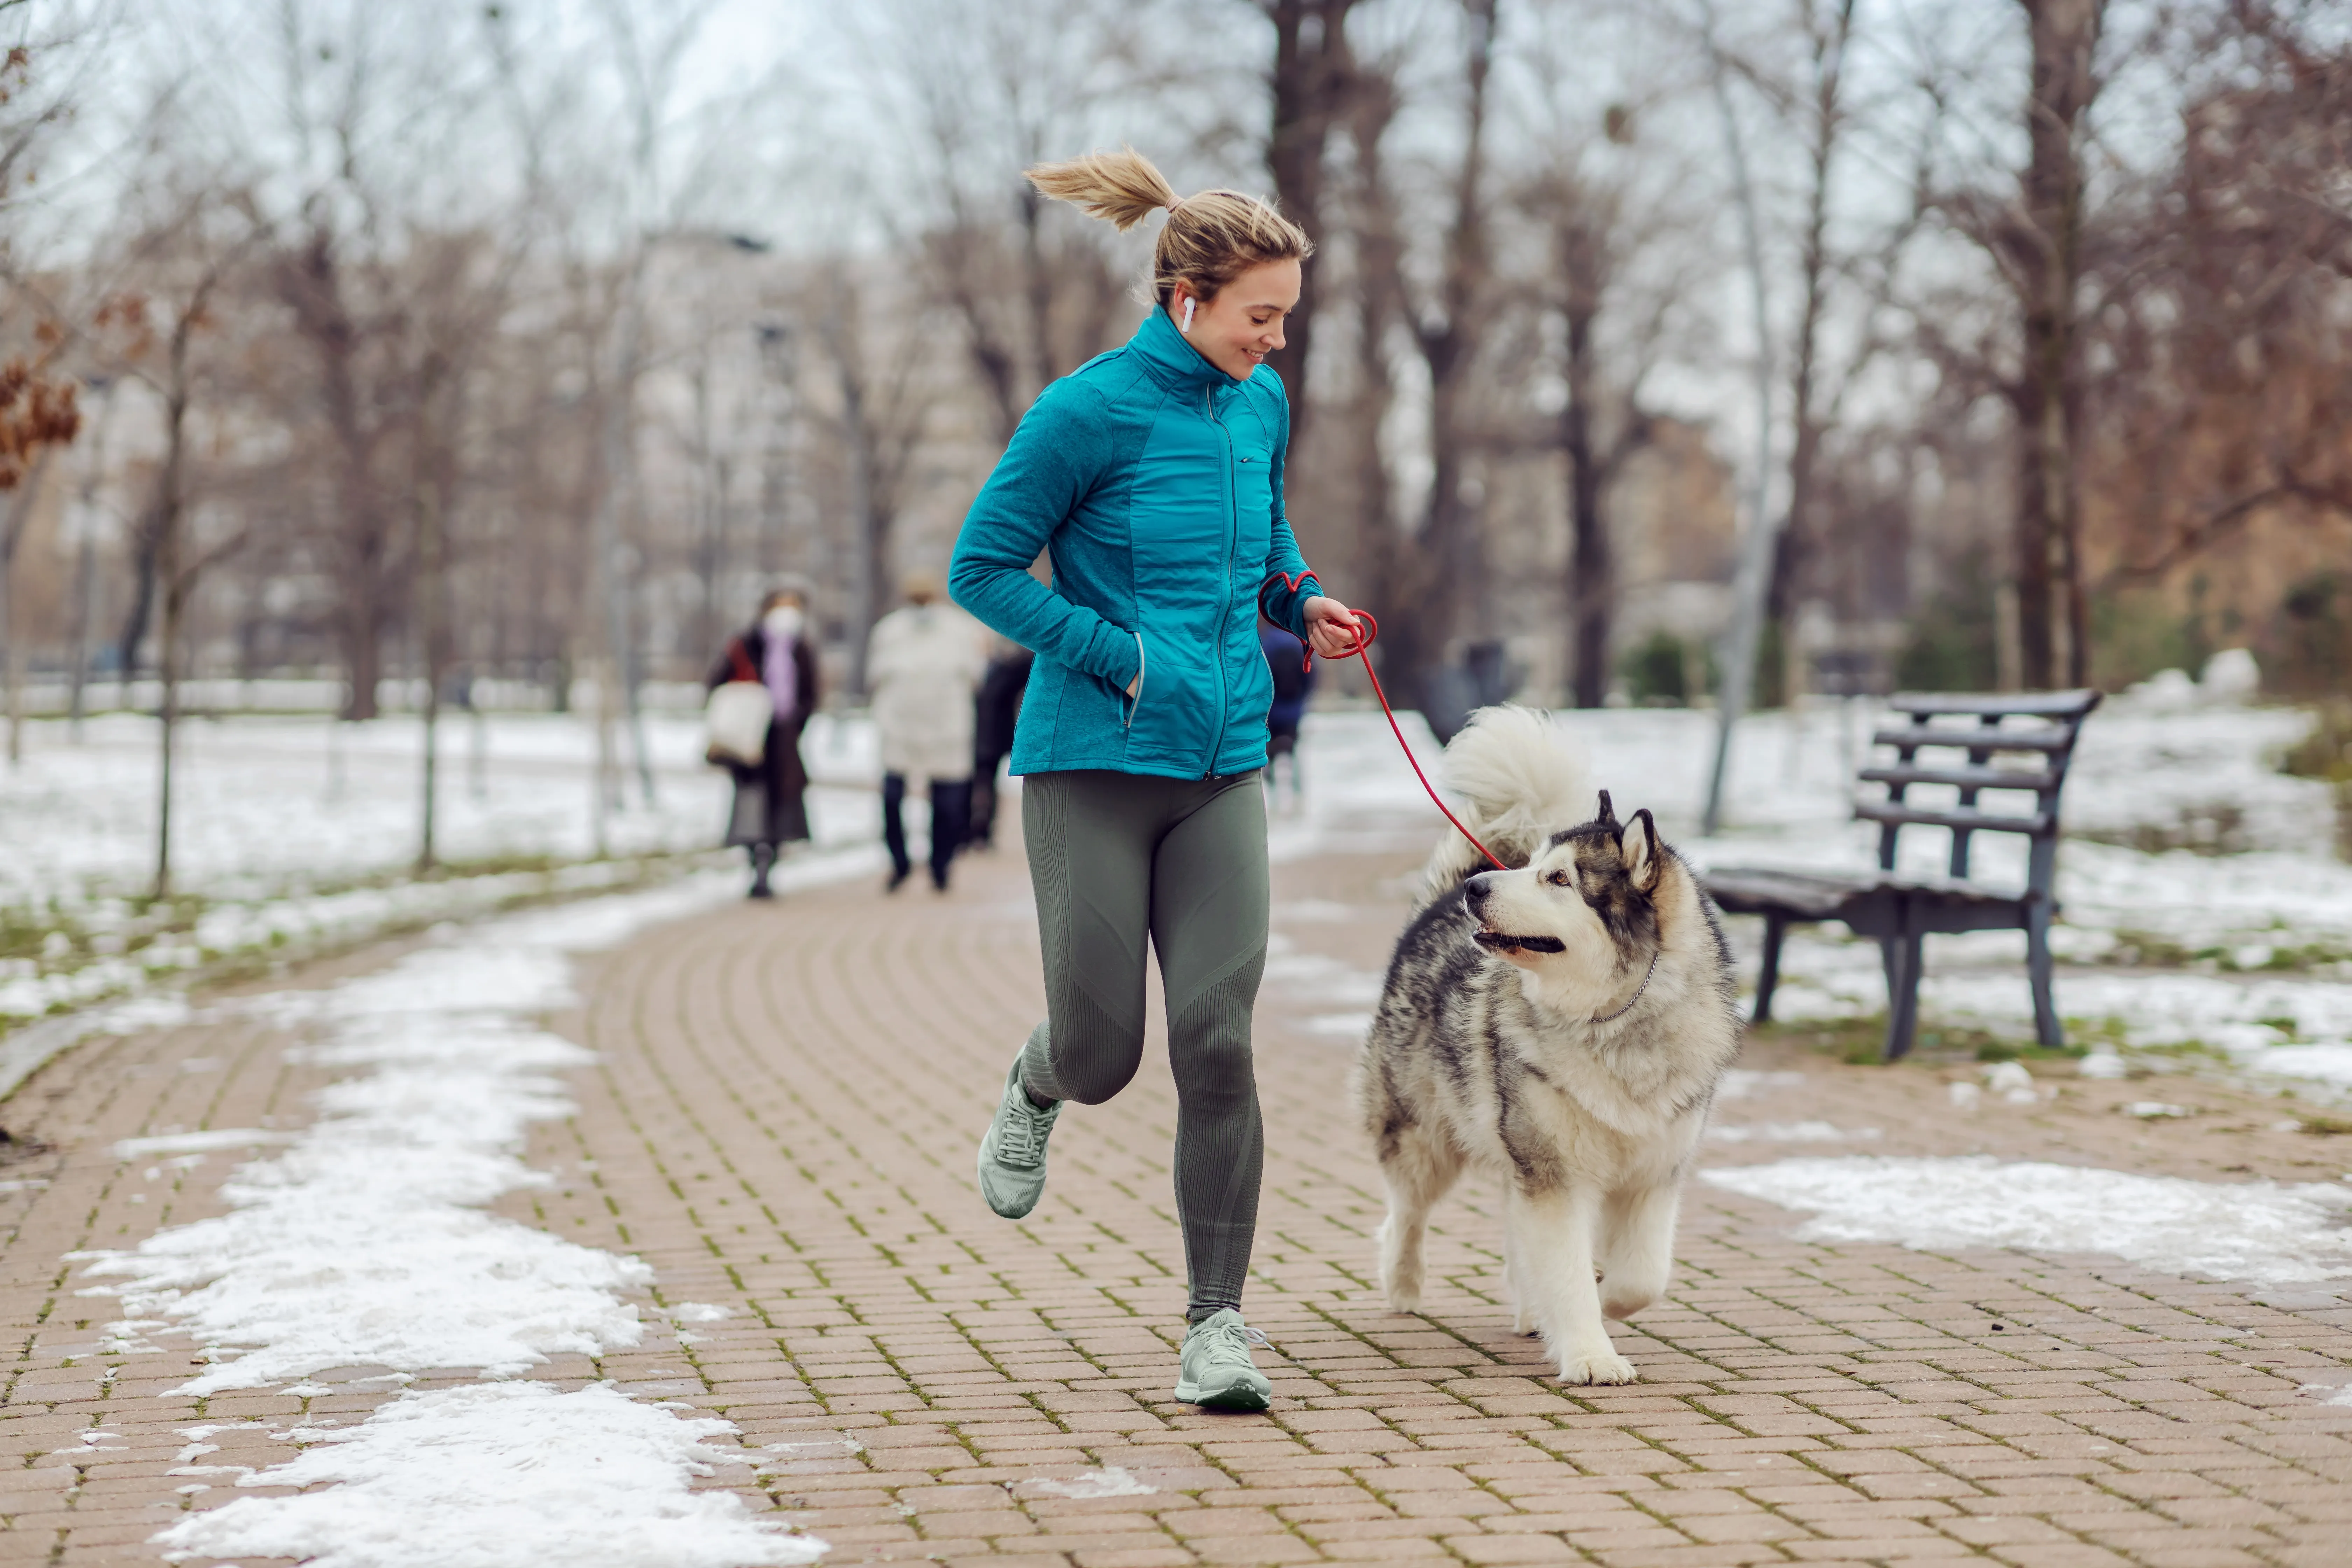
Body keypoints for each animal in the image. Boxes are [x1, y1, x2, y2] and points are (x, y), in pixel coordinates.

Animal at [1354, 710, 1740, 1382]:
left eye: (1559, 878)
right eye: (1534, 865)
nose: (1479, 887)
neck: (1614, 1023)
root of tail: (1435, 906)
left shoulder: (1654, 1175)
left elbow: (1644, 1277)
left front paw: (1603, 1299)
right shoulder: (1555, 1174)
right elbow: (1568, 1270)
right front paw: (1591, 1353)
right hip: (1427, 1138)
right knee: (1406, 1212)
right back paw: (1402, 1284)